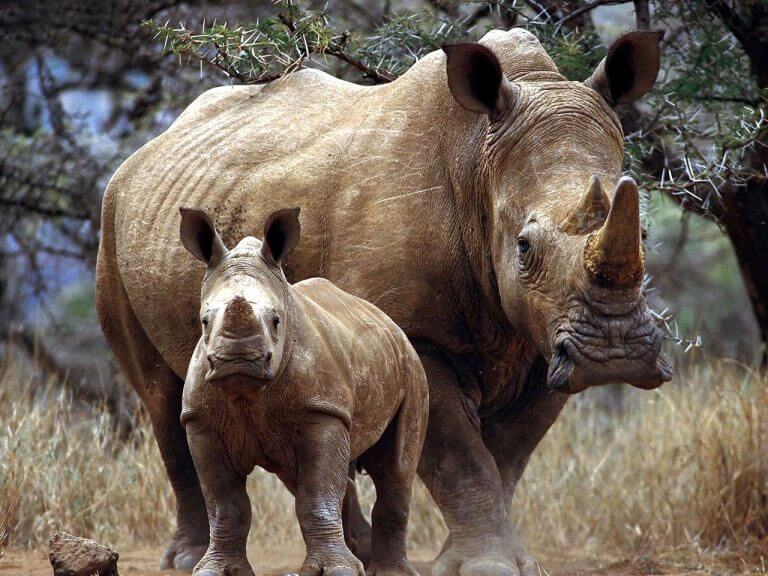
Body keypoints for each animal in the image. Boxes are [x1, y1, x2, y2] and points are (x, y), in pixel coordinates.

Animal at [96, 27, 670, 576]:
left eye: (644, 233)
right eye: (524, 247)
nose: (613, 354)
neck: (480, 163)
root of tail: (149, 149)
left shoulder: (546, 336)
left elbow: (507, 454)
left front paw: (491, 560)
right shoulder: (418, 336)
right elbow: (462, 456)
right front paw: (488, 565)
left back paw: (360, 551)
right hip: (112, 220)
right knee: (163, 399)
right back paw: (188, 560)